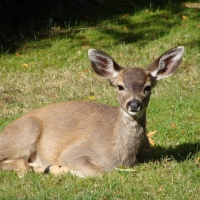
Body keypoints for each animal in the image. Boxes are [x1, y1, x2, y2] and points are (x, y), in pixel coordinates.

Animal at [0, 46, 184, 177]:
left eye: (147, 87)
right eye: (120, 86)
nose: (133, 104)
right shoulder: (73, 151)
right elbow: (98, 172)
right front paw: (55, 168)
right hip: (26, 131)